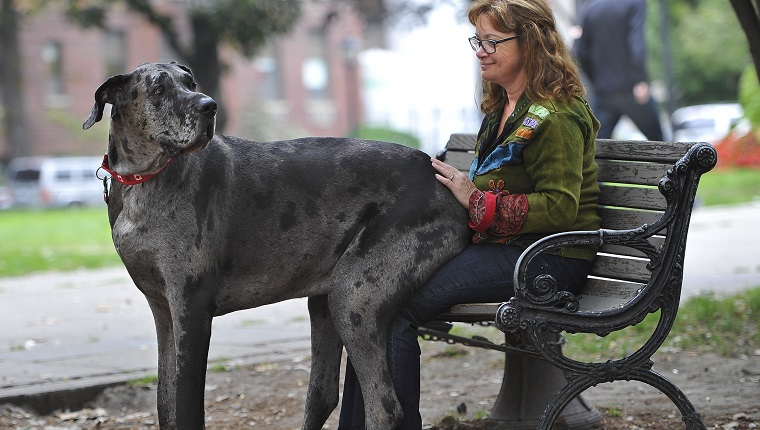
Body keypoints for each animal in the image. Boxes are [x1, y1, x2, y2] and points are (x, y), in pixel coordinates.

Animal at [81, 62, 470, 428]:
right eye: (159, 89)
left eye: (190, 84)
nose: (210, 106)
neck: (143, 179)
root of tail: (435, 172)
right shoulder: (164, 313)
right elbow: (167, 407)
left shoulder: (192, 312)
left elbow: (189, 411)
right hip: (326, 303)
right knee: (322, 396)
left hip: (354, 297)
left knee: (385, 408)